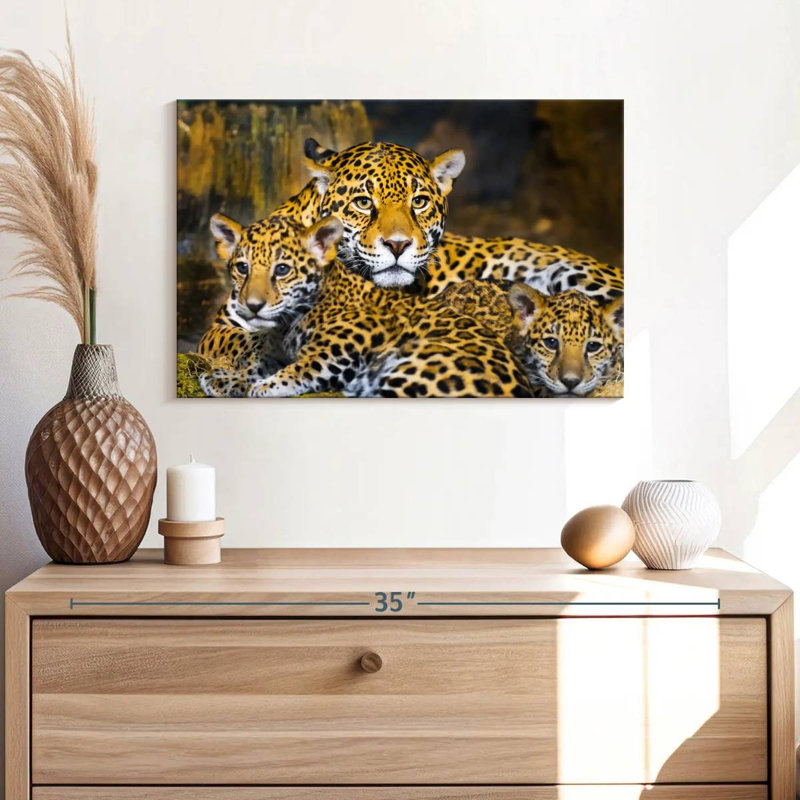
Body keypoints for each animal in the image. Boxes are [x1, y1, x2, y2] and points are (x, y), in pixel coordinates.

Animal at [219, 214, 535, 398]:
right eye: (242, 268)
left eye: (282, 269)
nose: (253, 305)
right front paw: (228, 379)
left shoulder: (345, 346)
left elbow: (304, 366)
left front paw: (264, 386)